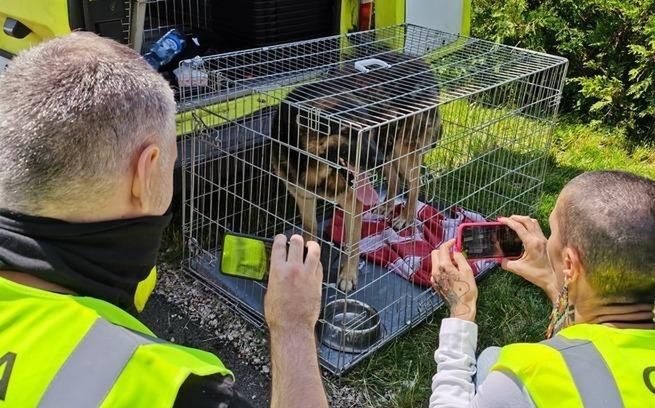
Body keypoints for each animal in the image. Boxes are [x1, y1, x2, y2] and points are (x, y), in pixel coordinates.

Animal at [272, 51, 440, 294]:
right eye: (348, 133)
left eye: (366, 129)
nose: (376, 158)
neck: (316, 166)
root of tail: (419, 60)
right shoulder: (304, 197)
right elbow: (310, 230)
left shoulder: (353, 202)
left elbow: (352, 244)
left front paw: (348, 276)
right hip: (388, 148)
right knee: (393, 178)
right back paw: (386, 206)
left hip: (401, 149)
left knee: (414, 183)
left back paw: (406, 217)